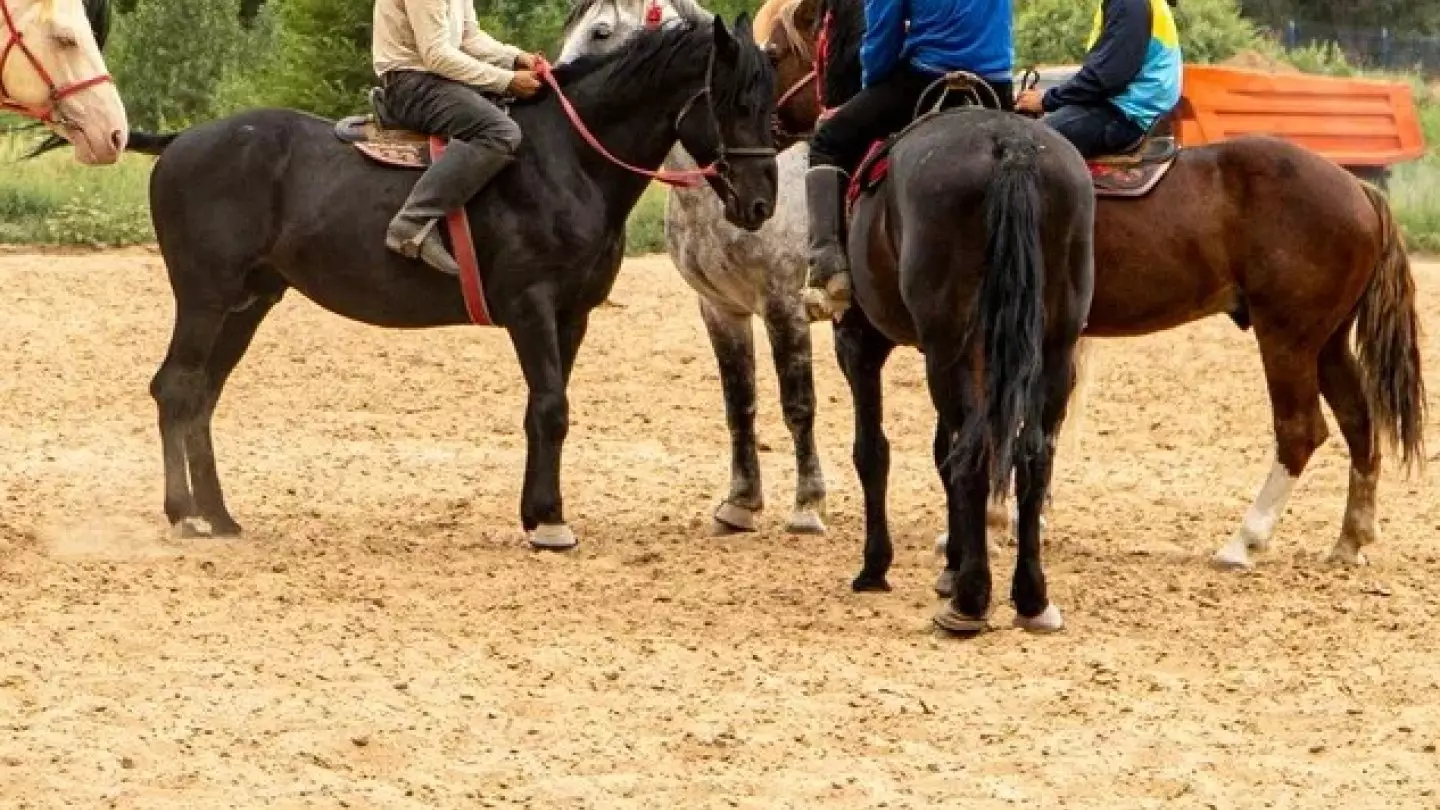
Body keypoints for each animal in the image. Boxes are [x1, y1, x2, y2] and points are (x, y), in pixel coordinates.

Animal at [122, 17, 777, 547]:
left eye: (767, 100)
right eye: (733, 102)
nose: (762, 204)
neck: (569, 160)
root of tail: (183, 140)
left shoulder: (572, 314)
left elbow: (545, 409)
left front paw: (537, 515)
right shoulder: (531, 306)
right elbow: (550, 407)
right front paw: (550, 523)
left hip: (247, 303)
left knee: (203, 397)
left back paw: (219, 515)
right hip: (205, 299)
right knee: (176, 389)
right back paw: (185, 514)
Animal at [823, 0, 1088, 631]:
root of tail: (1009, 146)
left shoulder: (859, 344)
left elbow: (874, 451)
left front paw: (877, 567)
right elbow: (944, 449)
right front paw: (950, 563)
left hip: (948, 347)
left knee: (973, 450)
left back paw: (970, 601)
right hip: (1050, 345)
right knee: (1029, 452)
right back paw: (1031, 598)